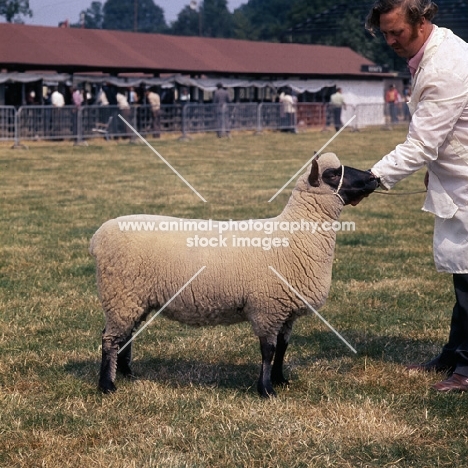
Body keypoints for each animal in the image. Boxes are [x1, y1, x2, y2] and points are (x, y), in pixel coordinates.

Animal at [89, 153, 378, 394]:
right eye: (333, 174)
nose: (373, 177)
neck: (294, 233)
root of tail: (99, 236)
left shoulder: (286, 310)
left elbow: (283, 347)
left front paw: (280, 380)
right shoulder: (267, 307)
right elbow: (268, 350)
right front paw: (266, 389)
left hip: (135, 298)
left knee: (126, 335)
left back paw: (127, 374)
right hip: (120, 294)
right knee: (110, 338)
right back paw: (107, 385)